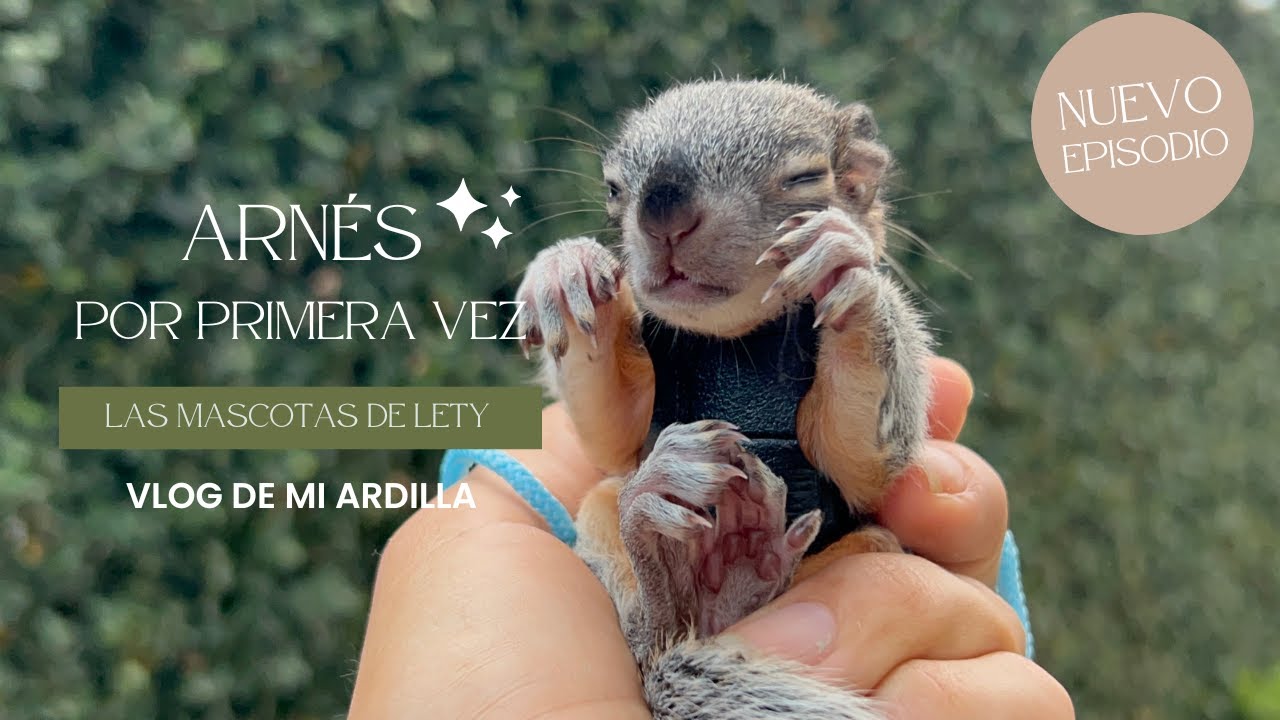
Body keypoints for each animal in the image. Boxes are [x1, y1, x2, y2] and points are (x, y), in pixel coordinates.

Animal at [515, 79, 933, 719]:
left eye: (808, 177)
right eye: (612, 187)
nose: (663, 212)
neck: (733, 346)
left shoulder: (861, 464)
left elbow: (861, 455)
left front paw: (846, 268)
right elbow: (612, 426)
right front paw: (563, 269)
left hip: (871, 544)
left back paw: (734, 578)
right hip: (602, 516)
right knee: (651, 628)